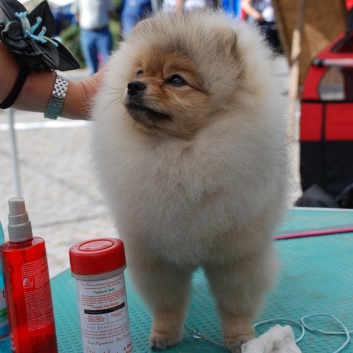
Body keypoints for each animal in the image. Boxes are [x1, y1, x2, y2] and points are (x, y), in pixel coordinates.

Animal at [89, 8, 288, 352]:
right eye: (140, 71)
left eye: (176, 80)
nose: (133, 85)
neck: (181, 154)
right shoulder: (157, 257)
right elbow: (167, 302)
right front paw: (164, 334)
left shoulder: (237, 256)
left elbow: (235, 302)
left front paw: (239, 337)